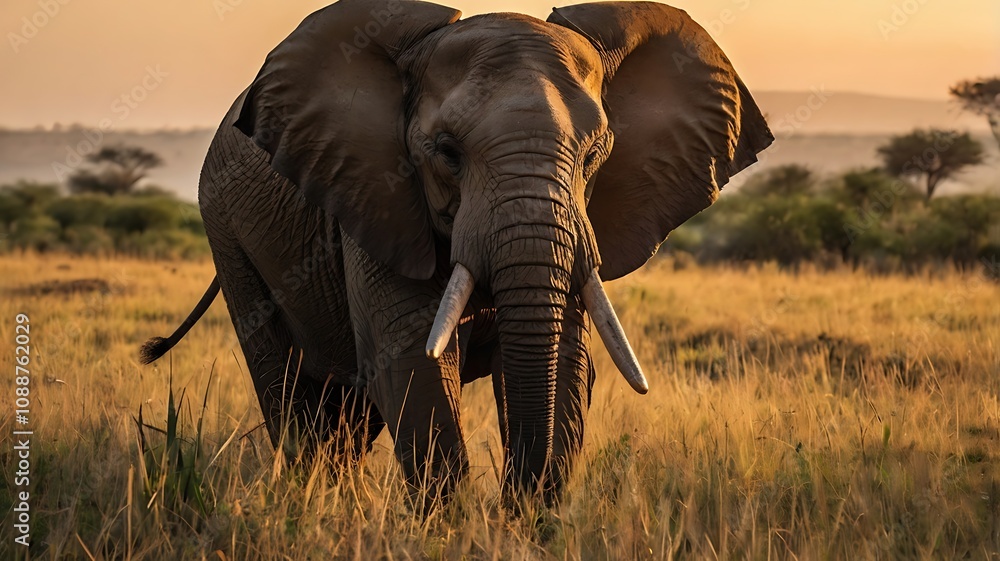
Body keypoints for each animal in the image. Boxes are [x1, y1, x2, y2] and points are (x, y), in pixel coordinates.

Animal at [140, 0, 772, 504]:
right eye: (446, 152)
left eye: (596, 153)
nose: (513, 508)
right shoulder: (377, 198)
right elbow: (411, 362)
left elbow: (567, 362)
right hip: (226, 228)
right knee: (291, 394)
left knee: (347, 412)